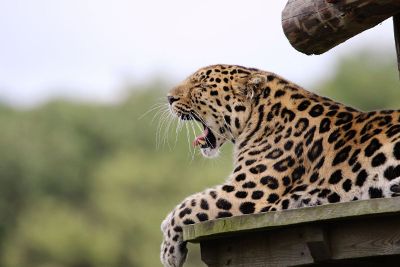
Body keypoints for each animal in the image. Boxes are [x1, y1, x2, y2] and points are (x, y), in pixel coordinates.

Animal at [159, 65, 400, 267]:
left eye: (200, 86)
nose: (169, 98)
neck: (259, 117)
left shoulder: (247, 191)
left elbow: (190, 204)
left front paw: (168, 250)